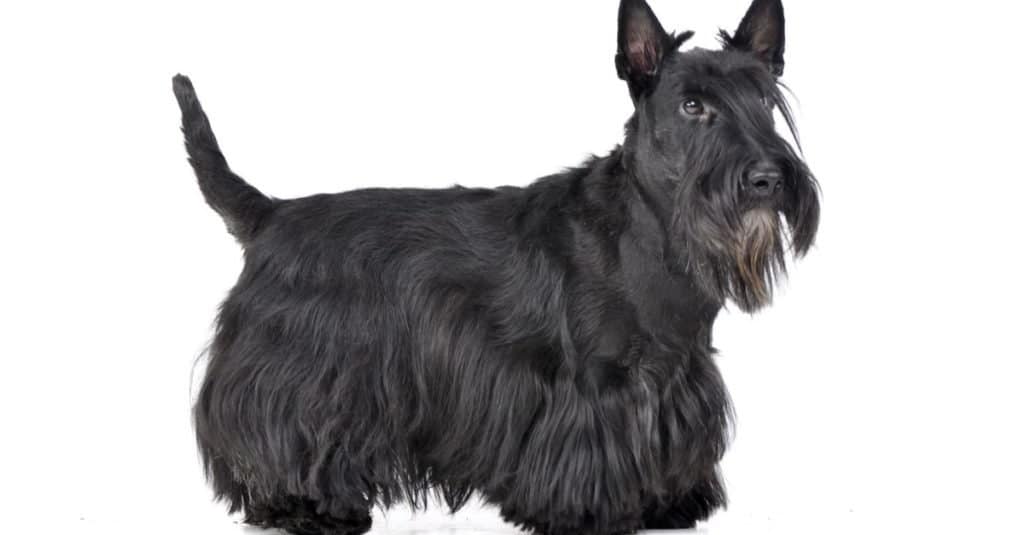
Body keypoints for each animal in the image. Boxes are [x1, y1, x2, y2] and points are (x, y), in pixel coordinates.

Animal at [172, 1, 819, 532]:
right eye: (692, 105)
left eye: (765, 100)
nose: (767, 178)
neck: (652, 231)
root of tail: (270, 214)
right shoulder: (595, 383)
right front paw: (594, 513)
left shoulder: (678, 370)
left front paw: (668, 502)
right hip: (299, 371)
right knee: (270, 433)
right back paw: (302, 508)